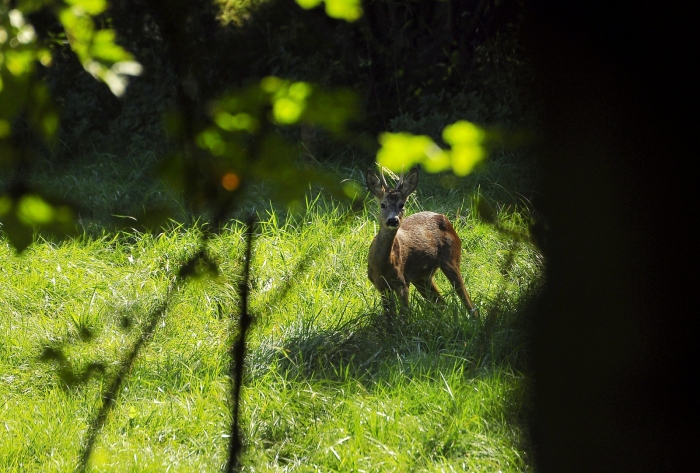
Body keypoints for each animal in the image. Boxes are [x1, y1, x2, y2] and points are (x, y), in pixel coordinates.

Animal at [364, 166, 478, 318]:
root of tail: (445, 218)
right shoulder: (380, 285)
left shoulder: (402, 282)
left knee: (468, 302)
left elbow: (404, 315)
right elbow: (389, 317)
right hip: (422, 277)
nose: (393, 220)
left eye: (402, 204)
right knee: (442, 303)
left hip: (451, 258)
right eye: (383, 205)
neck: (383, 266)